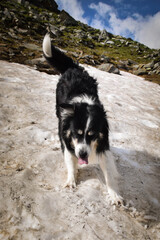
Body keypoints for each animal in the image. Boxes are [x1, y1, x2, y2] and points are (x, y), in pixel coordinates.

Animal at [42, 34, 124, 204]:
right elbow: (70, 160)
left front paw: (114, 194)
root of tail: (73, 68)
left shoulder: (103, 144)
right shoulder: (66, 138)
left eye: (92, 135)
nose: (83, 155)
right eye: (76, 133)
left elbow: (109, 173)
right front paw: (71, 180)